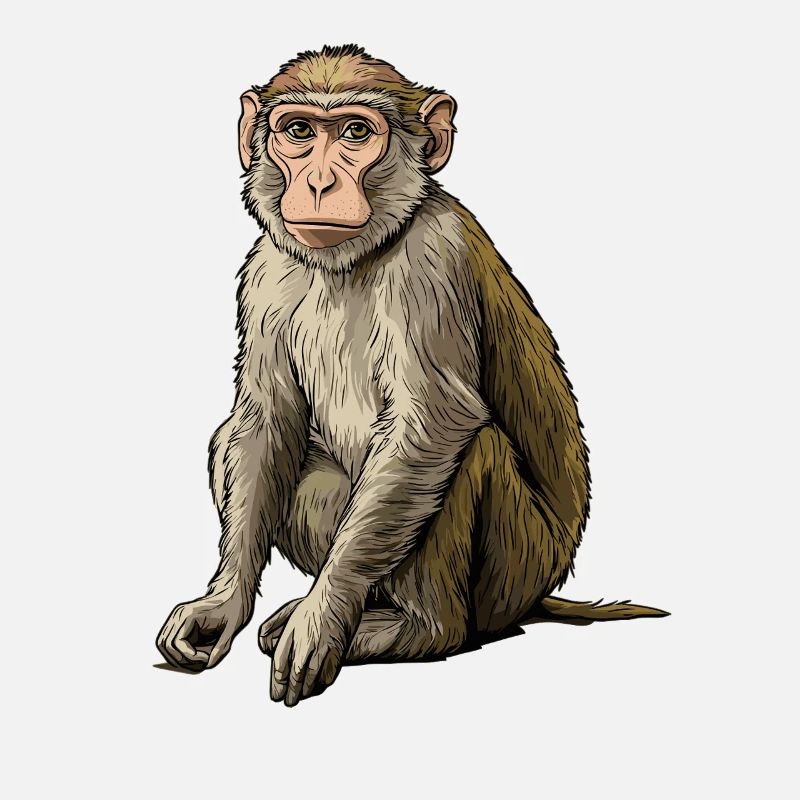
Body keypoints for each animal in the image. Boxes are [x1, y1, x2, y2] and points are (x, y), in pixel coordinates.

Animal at [156, 45, 667, 706]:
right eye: (299, 132)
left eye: (355, 133)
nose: (318, 182)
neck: (357, 255)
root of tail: (539, 590)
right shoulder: (266, 269)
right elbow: (262, 422)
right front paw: (221, 606)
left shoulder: (434, 260)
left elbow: (432, 425)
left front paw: (322, 619)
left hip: (513, 569)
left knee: (472, 449)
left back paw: (416, 629)